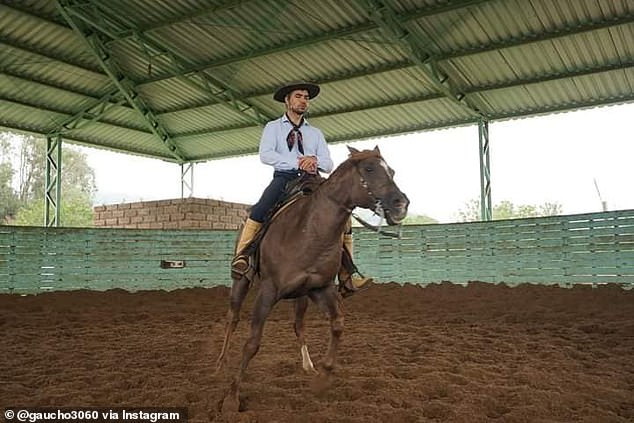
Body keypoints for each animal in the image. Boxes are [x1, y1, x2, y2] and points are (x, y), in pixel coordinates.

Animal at [215, 147, 408, 412]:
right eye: (369, 169)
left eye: (393, 171)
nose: (402, 204)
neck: (309, 230)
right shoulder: (268, 291)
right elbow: (252, 343)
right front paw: (232, 398)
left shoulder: (321, 289)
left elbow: (337, 325)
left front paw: (322, 378)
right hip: (241, 282)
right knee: (232, 318)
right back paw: (221, 363)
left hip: (302, 297)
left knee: (299, 325)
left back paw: (308, 366)